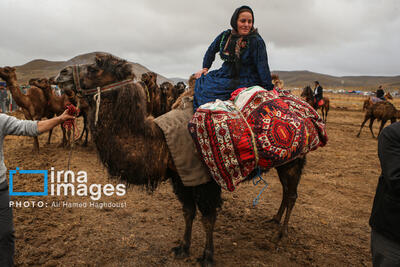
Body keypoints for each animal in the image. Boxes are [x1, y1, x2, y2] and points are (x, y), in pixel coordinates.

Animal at [54, 53, 306, 266]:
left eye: (95, 67)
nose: (61, 73)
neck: (162, 142)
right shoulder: (181, 176)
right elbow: (188, 212)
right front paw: (183, 248)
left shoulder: (205, 179)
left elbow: (208, 218)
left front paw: (207, 256)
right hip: (285, 162)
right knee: (286, 191)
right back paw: (274, 220)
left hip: (295, 159)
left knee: (292, 193)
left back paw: (281, 233)